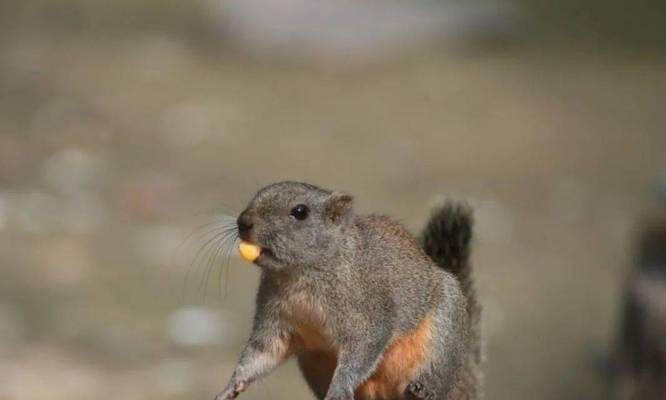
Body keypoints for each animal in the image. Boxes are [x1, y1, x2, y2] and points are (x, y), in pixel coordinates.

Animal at [215, 183, 480, 400]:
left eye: (300, 212)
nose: (243, 222)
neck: (300, 275)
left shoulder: (368, 313)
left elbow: (363, 348)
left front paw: (340, 388)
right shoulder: (275, 320)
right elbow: (261, 353)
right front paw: (231, 387)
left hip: (442, 335)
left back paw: (423, 390)